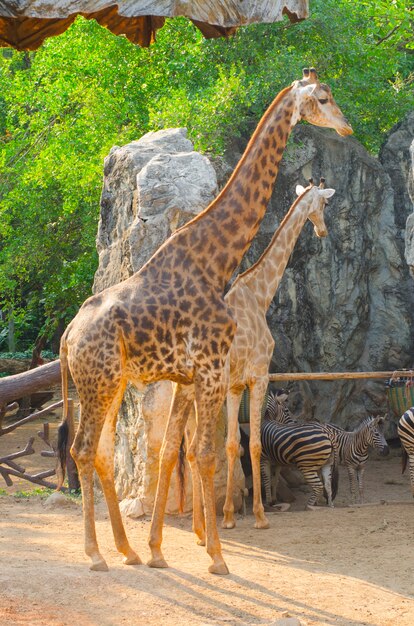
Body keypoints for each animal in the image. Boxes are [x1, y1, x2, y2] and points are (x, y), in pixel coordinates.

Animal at [55, 69, 352, 576]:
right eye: (324, 98)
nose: (348, 128)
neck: (217, 263)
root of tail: (68, 336)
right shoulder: (214, 371)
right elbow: (210, 453)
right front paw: (217, 556)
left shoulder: (191, 377)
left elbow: (186, 450)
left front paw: (161, 548)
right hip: (98, 383)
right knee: (82, 450)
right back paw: (95, 555)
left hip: (109, 385)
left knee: (102, 453)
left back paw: (128, 550)